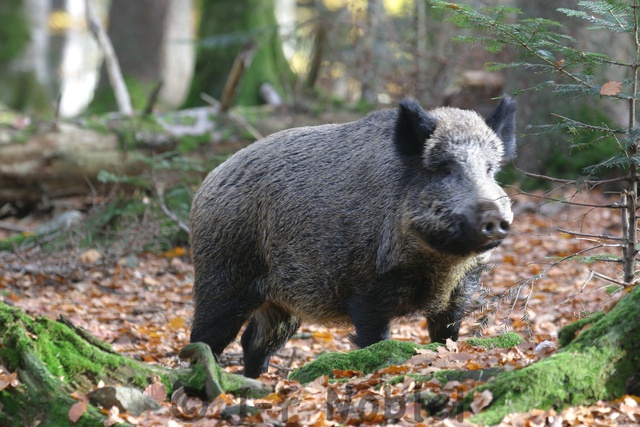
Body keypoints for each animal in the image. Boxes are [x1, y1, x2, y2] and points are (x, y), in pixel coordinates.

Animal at [189, 97, 516, 378]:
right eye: (444, 168)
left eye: (490, 170)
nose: (493, 217)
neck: (438, 264)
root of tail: (207, 183)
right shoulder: (365, 287)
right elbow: (376, 340)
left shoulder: (461, 289)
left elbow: (447, 335)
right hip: (222, 275)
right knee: (203, 338)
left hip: (281, 303)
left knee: (254, 341)